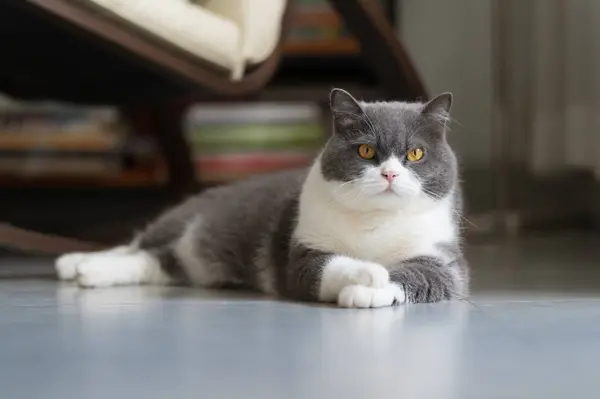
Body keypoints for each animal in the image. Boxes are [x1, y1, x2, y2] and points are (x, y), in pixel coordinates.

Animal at [55, 90, 468, 310]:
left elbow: (417, 276)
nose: (390, 174)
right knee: (139, 243)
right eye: (366, 151)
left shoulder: (444, 261)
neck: (376, 221)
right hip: (183, 220)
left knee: (153, 261)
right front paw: (366, 273)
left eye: (415, 154)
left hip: (191, 263)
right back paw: (75, 263)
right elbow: (330, 267)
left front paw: (369, 291)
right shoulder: (302, 254)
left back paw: (87, 271)